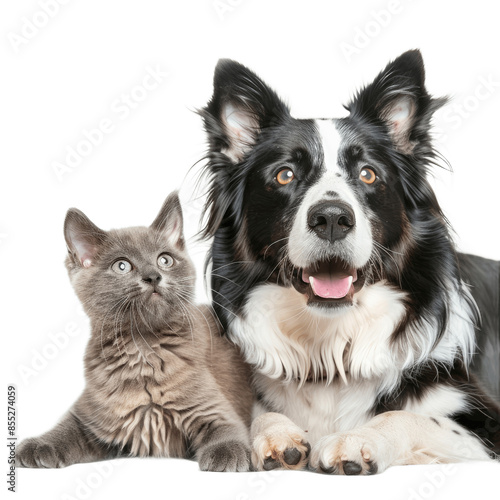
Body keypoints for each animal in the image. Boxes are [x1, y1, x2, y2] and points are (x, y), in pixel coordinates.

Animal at [16, 192, 254, 472]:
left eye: (164, 259)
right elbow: (65, 428)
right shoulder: (89, 415)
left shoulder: (213, 410)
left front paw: (227, 452)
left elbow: (226, 429)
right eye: (122, 266)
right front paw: (39, 444)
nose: (153, 276)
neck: (143, 347)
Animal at [200, 49, 500, 472]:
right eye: (284, 174)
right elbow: (257, 413)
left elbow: (405, 416)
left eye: (368, 174)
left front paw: (356, 439)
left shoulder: (484, 421)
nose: (331, 219)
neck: (331, 340)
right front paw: (275, 433)